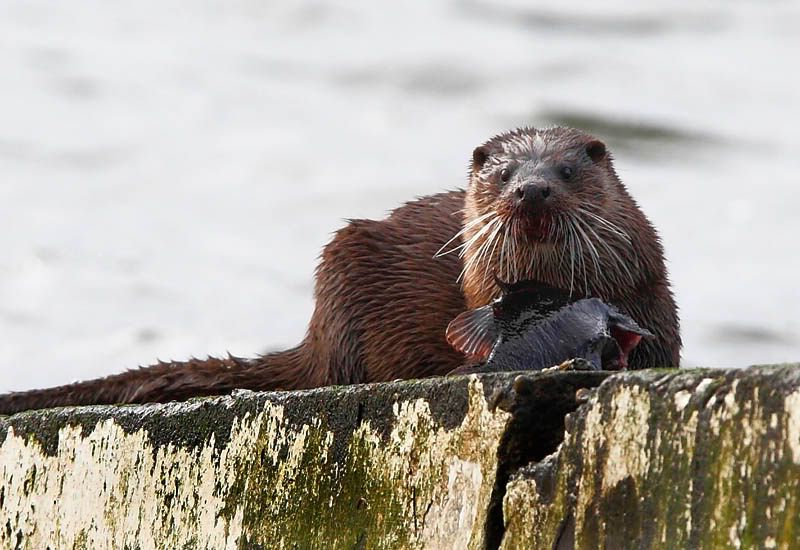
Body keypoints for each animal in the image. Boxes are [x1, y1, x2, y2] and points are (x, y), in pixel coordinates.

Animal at [0, 127, 680, 416]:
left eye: (566, 170)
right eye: (504, 173)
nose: (531, 189)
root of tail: (316, 334)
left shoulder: (653, 304)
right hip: (344, 264)